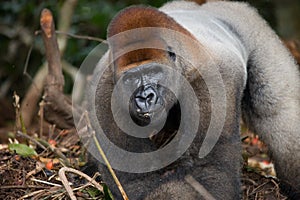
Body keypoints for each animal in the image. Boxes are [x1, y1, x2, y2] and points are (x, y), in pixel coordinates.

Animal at [83, 0, 300, 199]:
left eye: (154, 71)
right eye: (130, 79)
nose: (145, 97)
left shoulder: (214, 76)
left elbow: (208, 167)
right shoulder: (103, 93)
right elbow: (136, 177)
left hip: (253, 28)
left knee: (278, 113)